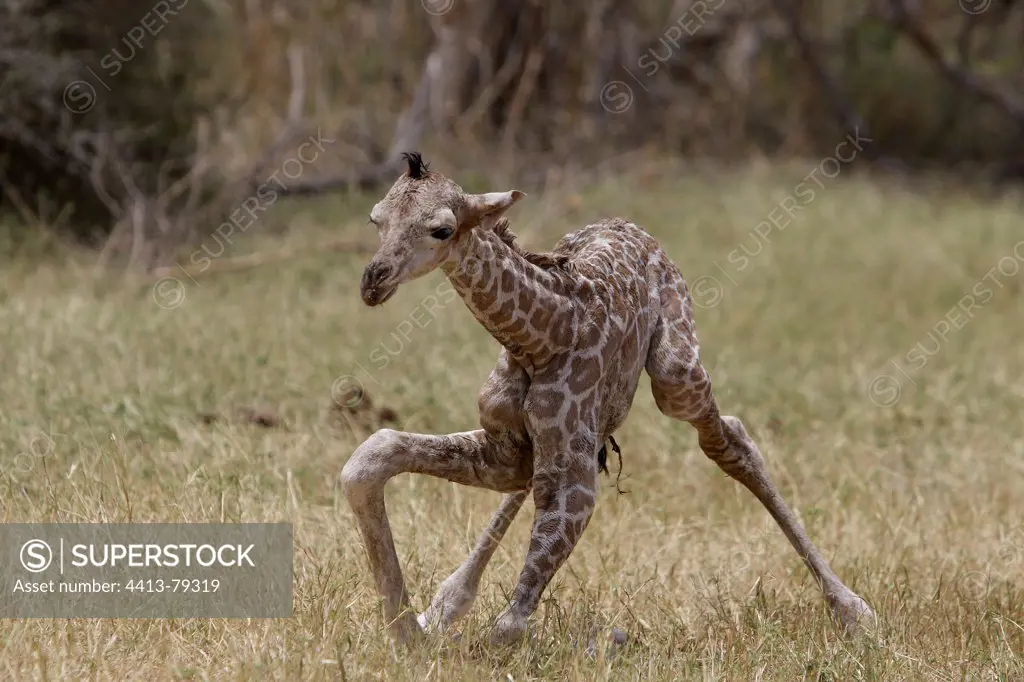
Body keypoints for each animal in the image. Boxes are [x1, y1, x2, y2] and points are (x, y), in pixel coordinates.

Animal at [342, 152, 872, 643]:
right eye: (376, 218)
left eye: (441, 229)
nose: (373, 280)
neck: (540, 337)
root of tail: (627, 224)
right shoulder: (506, 449)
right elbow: (370, 458)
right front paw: (410, 633)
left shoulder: (568, 478)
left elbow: (508, 627)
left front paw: (609, 640)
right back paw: (444, 606)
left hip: (676, 374)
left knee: (731, 438)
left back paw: (853, 608)